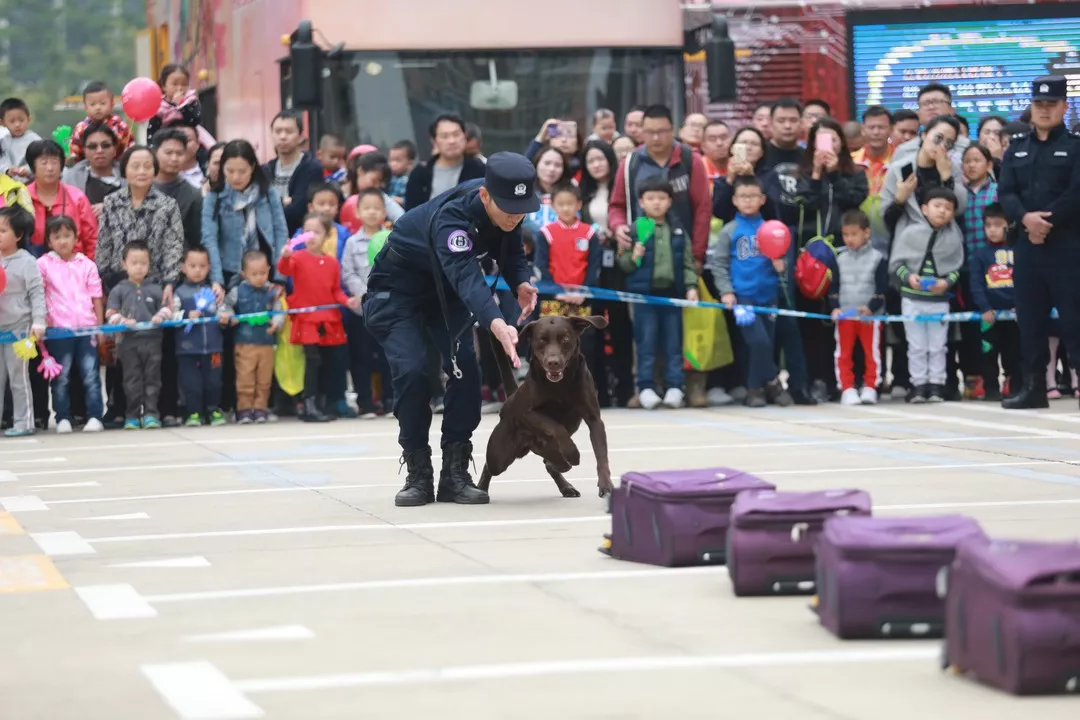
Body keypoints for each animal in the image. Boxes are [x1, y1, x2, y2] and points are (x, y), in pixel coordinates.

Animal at [477, 315, 614, 498]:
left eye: (565, 339)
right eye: (541, 340)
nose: (553, 363)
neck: (560, 384)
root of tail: (512, 396)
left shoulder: (594, 419)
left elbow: (601, 456)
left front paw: (606, 486)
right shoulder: (527, 412)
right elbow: (556, 427)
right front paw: (573, 453)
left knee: (551, 463)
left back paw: (565, 482)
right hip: (499, 454)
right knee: (490, 466)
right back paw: (481, 488)